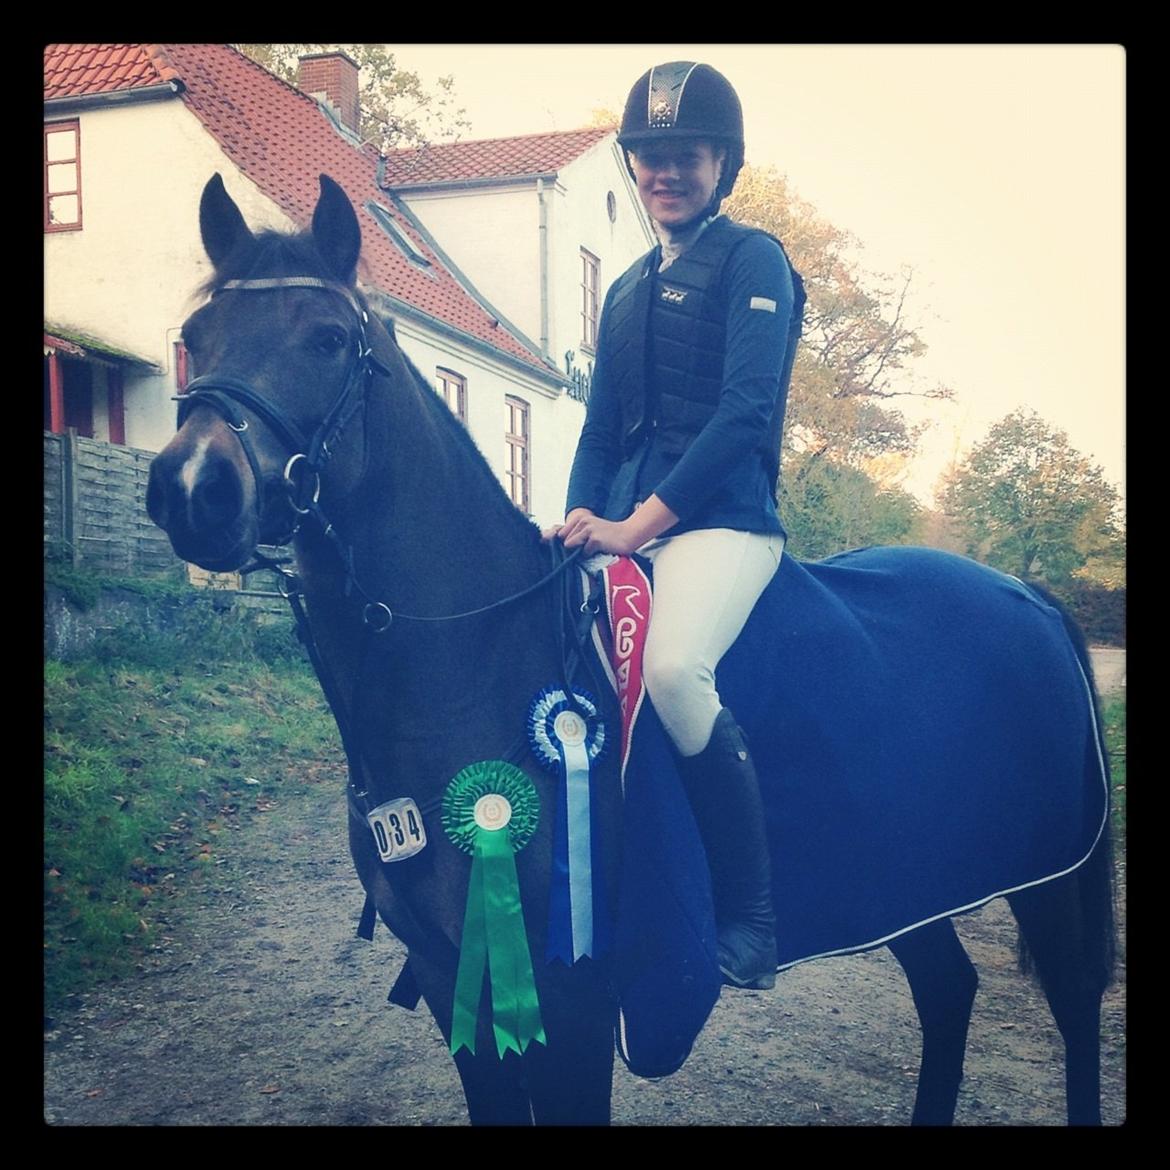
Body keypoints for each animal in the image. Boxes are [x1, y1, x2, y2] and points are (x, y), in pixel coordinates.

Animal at [147, 172, 1116, 1126]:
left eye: (329, 339)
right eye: (194, 338)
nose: (191, 487)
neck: (477, 664)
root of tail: (1027, 595)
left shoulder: (575, 998)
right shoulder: (448, 973)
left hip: (1040, 878)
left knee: (1073, 1007)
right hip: (904, 876)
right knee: (948, 992)